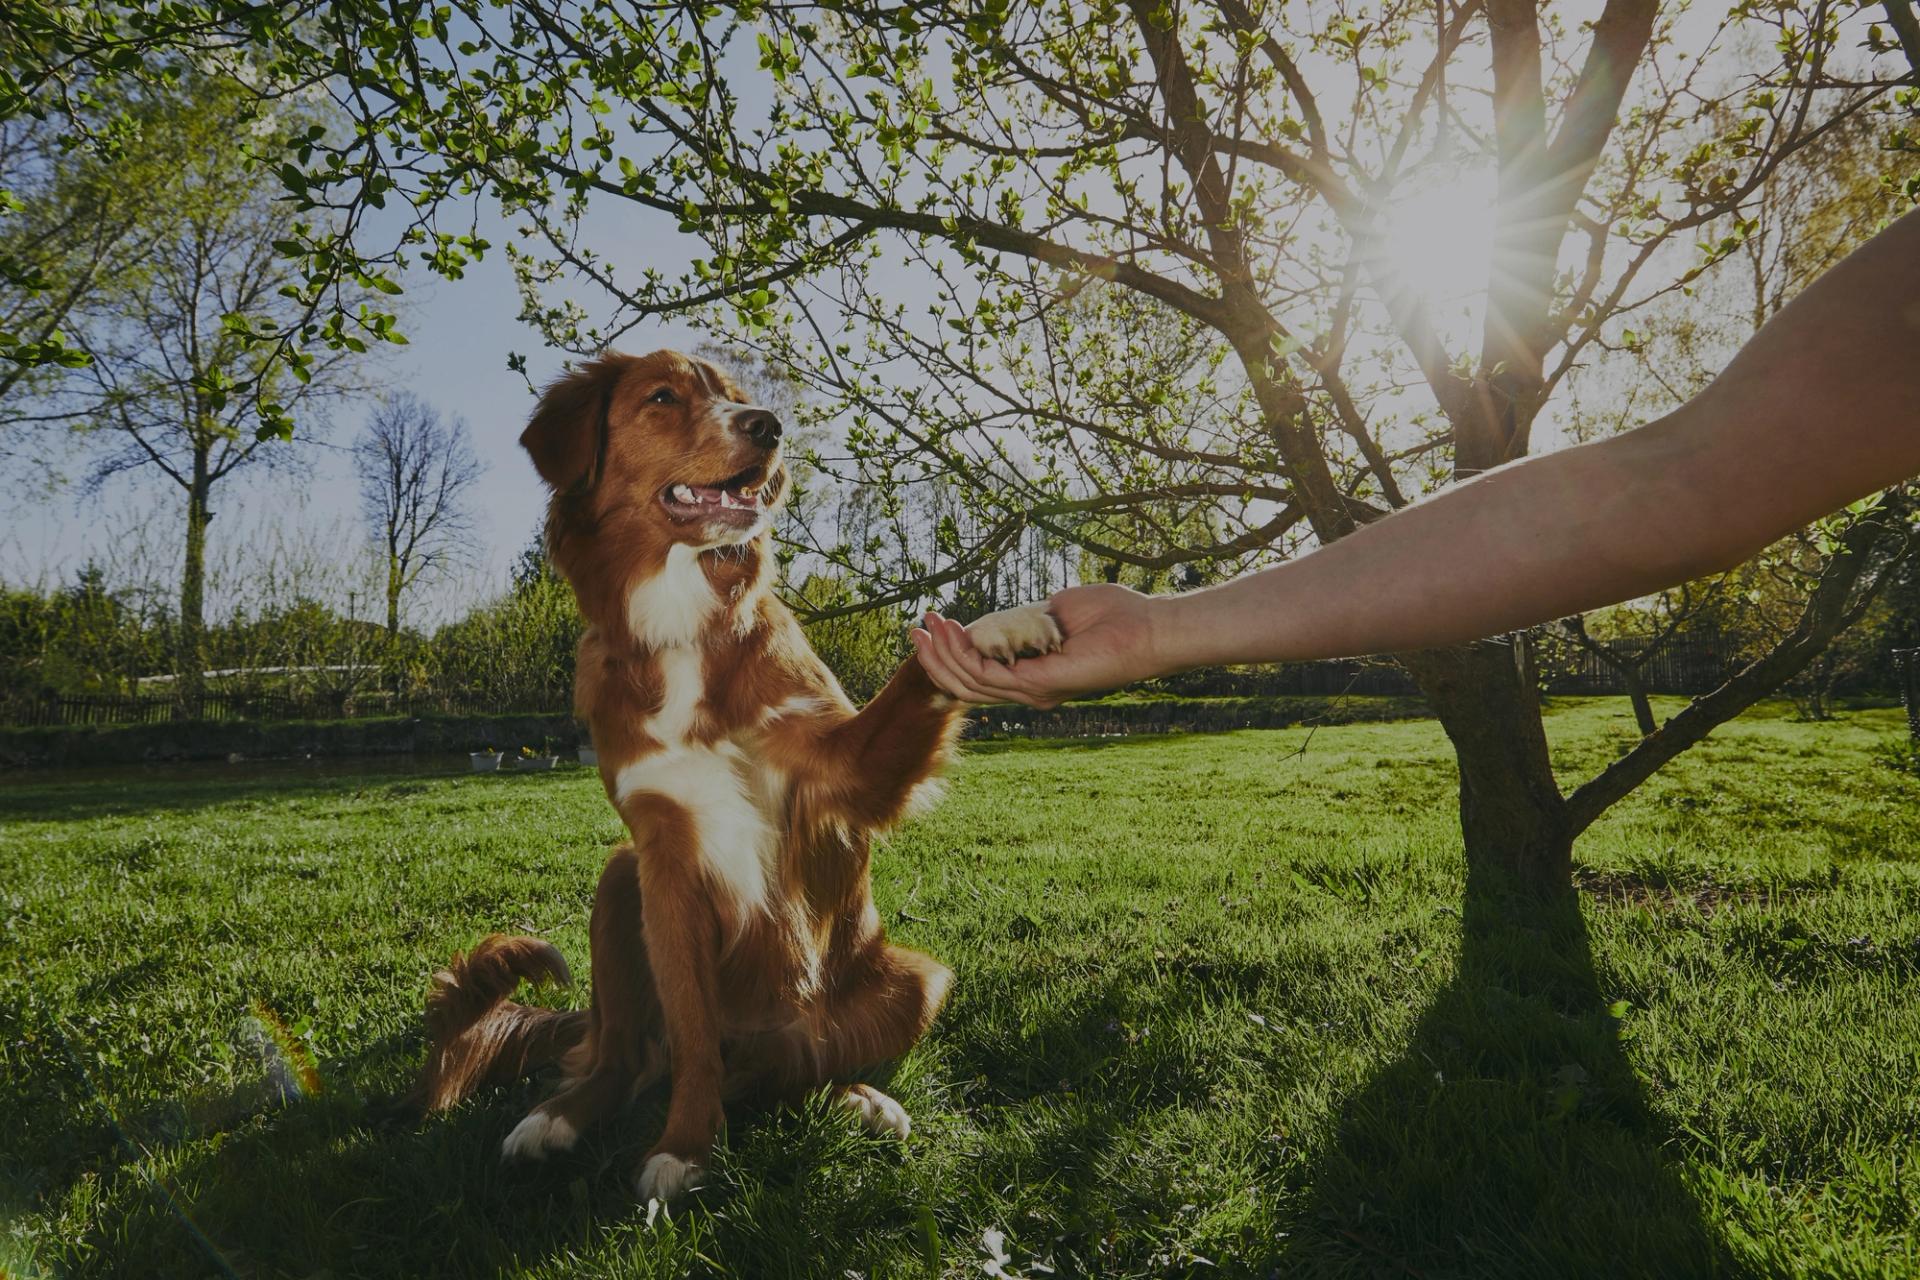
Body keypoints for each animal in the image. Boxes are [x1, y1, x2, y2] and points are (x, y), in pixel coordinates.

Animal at [410, 347, 1059, 1205]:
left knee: (796, 1071)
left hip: (914, 982)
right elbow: (691, 1034)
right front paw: (687, 1146)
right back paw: (556, 1118)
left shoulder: (840, 771)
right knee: (622, 1057)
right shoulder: (664, 855)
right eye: (662, 397)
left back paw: (859, 1098)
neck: (684, 621)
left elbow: (919, 669)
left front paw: (998, 629)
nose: (770, 426)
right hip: (620, 881)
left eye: (737, 396)